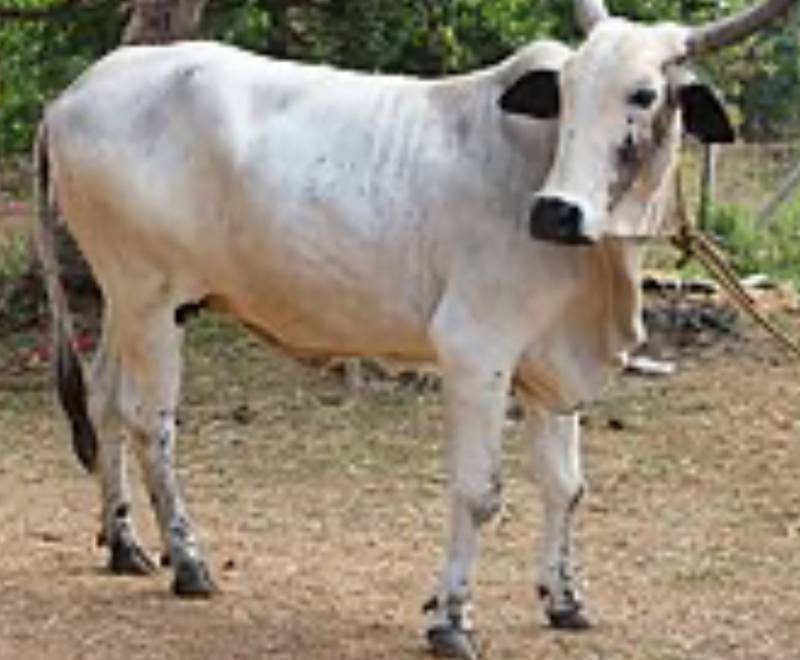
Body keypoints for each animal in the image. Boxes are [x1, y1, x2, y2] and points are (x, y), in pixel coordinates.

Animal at [34, 0, 796, 657]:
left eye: (643, 95)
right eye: (569, 90)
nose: (554, 213)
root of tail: (71, 96)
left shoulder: (550, 368)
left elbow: (565, 487)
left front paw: (564, 599)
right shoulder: (475, 351)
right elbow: (481, 493)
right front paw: (450, 618)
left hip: (125, 301)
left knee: (103, 400)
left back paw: (124, 544)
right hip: (151, 299)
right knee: (149, 422)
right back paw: (188, 560)